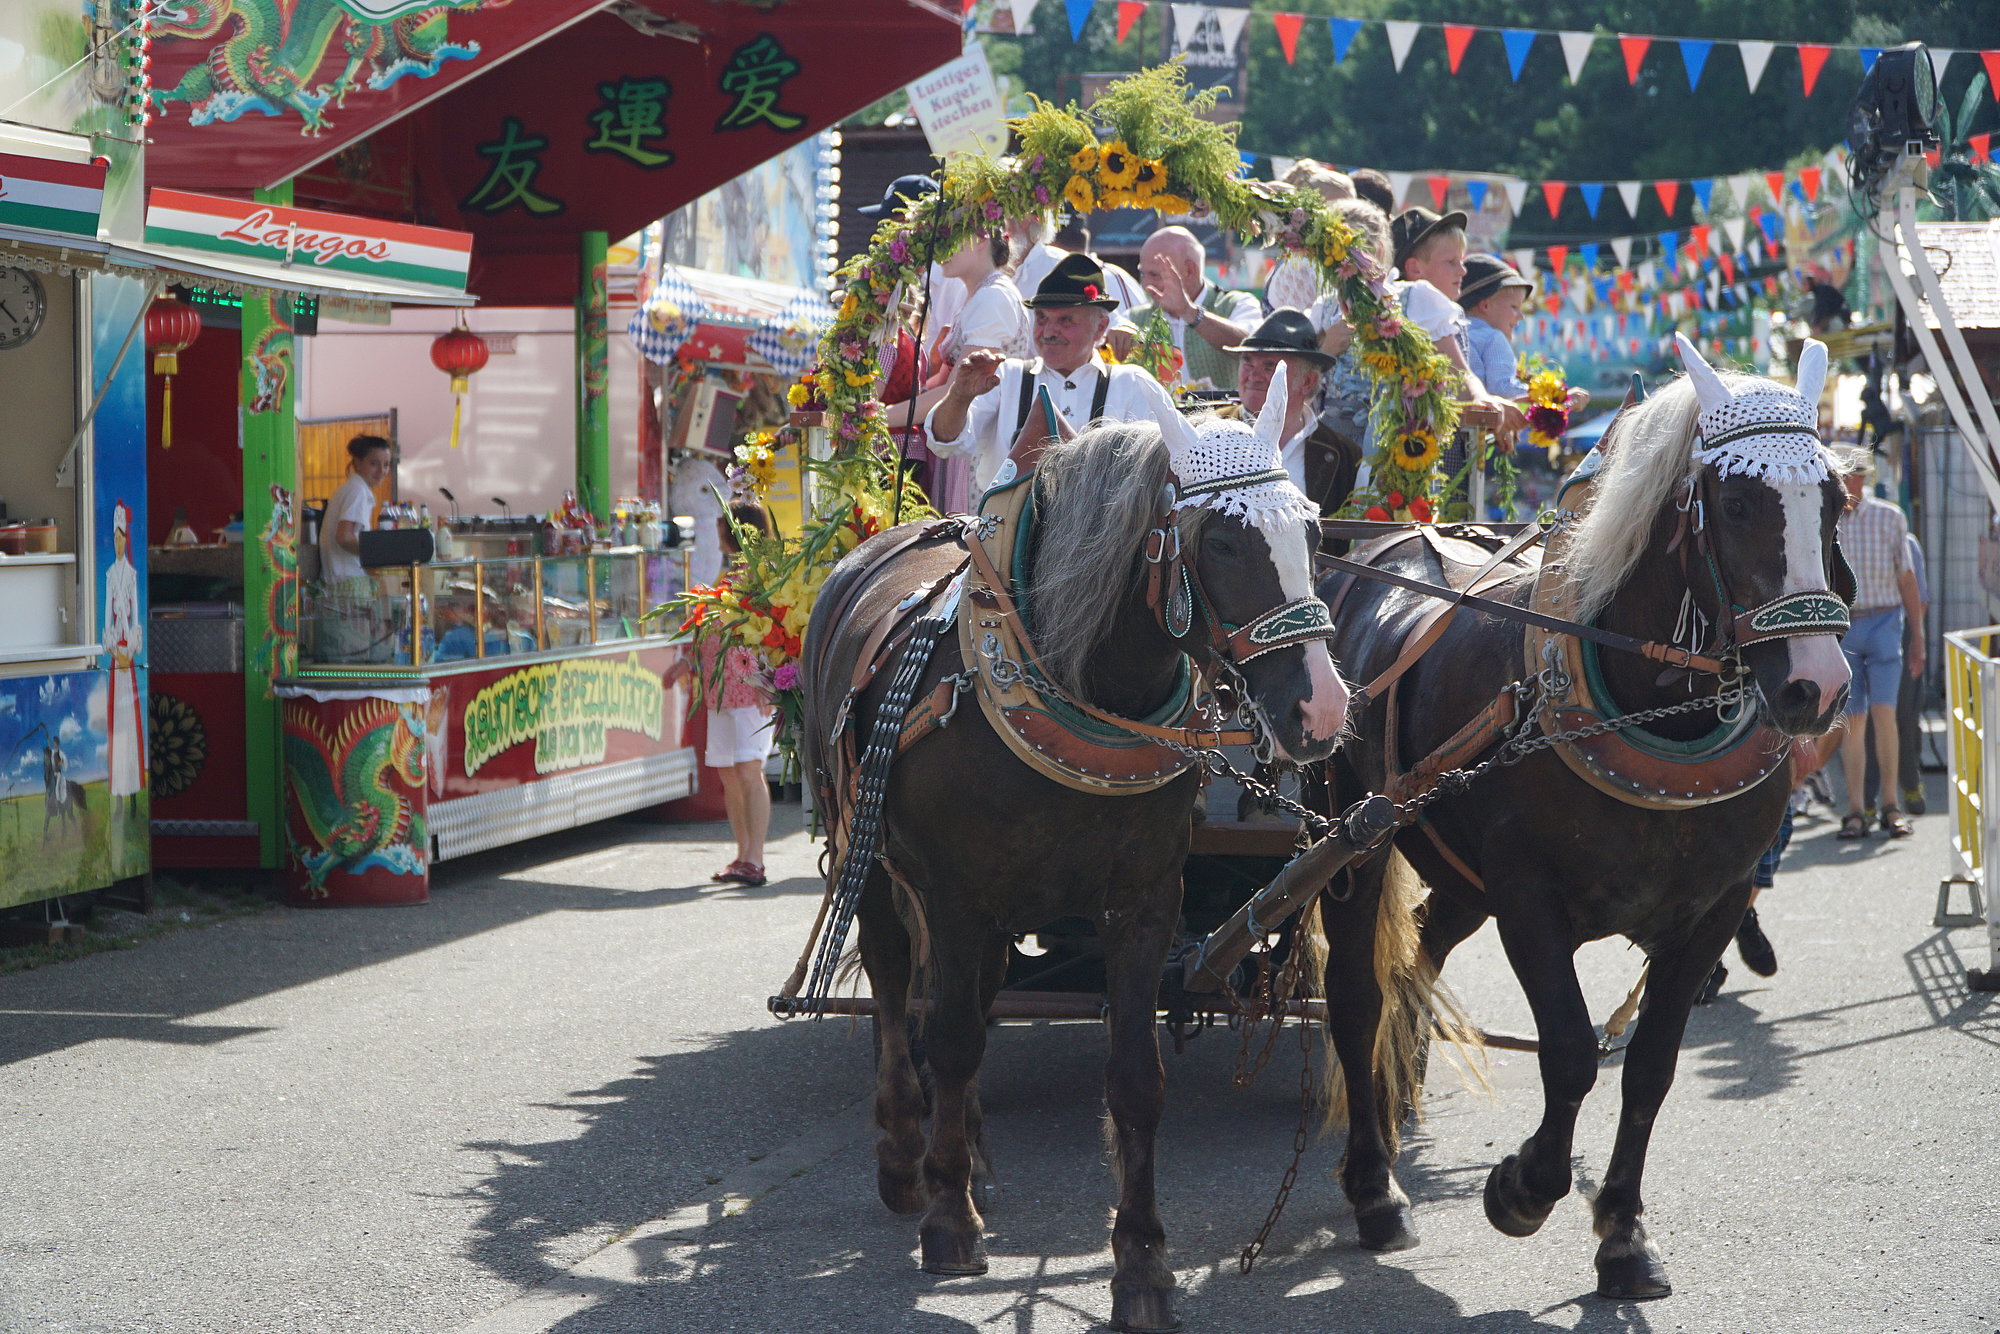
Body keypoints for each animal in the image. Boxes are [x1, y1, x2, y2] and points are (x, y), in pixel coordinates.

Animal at [804, 418, 1352, 1334]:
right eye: (1224, 542)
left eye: (1315, 535)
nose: (1322, 710)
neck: (1078, 689)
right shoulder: (954, 895)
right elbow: (947, 1037)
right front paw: (948, 1223)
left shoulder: (1142, 904)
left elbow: (1133, 1079)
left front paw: (1143, 1267)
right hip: (866, 853)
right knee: (893, 987)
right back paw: (908, 1158)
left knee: (972, 999)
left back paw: (973, 1155)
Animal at [1312, 340, 1840, 1296]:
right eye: (1738, 503)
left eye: (1838, 500)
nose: (1816, 686)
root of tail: (1377, 548)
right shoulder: (1530, 901)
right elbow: (1566, 1051)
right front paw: (1523, 1189)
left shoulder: (1712, 909)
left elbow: (1651, 1069)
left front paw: (1623, 1234)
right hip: (1352, 837)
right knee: (1356, 993)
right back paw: (1374, 1188)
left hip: (1456, 870)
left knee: (1418, 951)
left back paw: (1403, 1086)